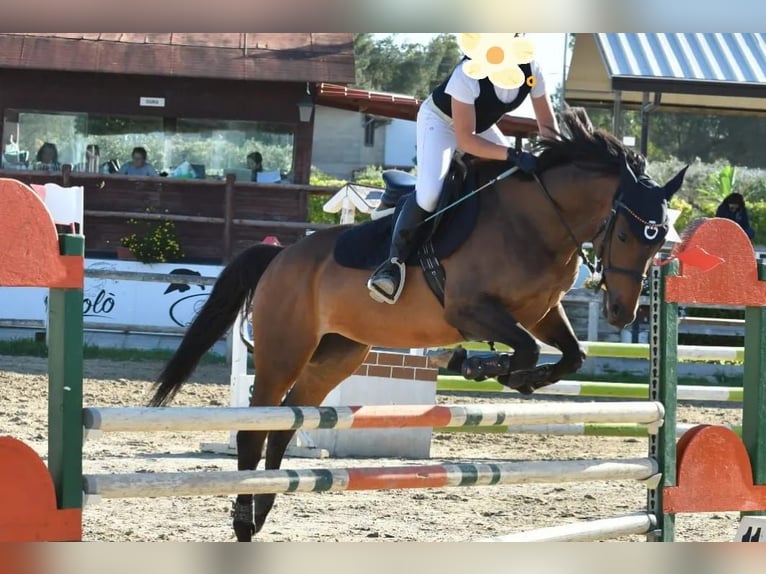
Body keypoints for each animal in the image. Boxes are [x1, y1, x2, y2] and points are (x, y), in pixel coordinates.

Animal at [147, 109, 688, 544]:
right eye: (627, 233)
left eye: (660, 240)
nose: (621, 313)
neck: (538, 219)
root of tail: (280, 256)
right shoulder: (468, 309)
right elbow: (527, 348)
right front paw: (482, 365)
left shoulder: (540, 312)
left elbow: (571, 355)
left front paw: (517, 377)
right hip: (285, 349)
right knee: (256, 428)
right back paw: (243, 519)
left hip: (338, 353)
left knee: (290, 422)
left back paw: (261, 512)